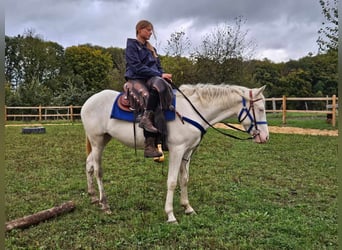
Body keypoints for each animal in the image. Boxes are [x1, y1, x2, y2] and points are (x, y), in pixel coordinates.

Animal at [81, 83, 270, 223]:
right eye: (260, 109)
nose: (265, 137)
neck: (193, 111)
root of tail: (88, 102)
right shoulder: (177, 150)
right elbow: (172, 182)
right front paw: (170, 215)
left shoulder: (187, 151)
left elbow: (184, 179)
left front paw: (188, 208)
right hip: (97, 141)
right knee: (98, 170)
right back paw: (105, 204)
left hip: (103, 140)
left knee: (89, 164)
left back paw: (92, 197)